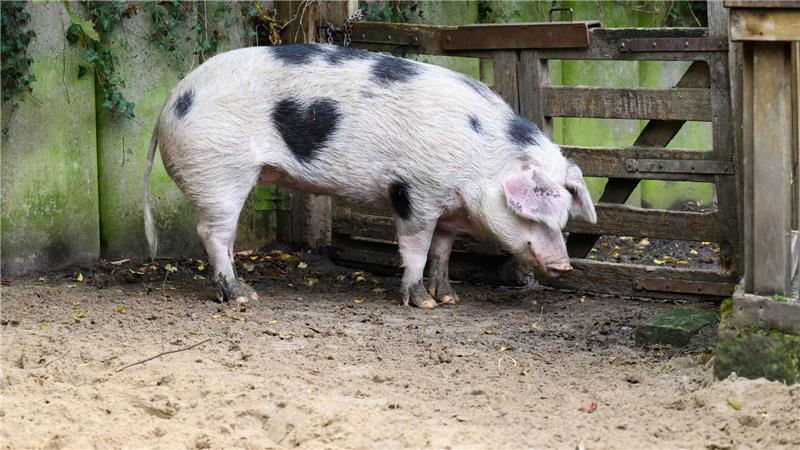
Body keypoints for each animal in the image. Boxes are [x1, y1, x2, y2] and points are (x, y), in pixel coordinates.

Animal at [143, 43, 597, 308]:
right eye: (531, 215)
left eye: (563, 218)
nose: (564, 265)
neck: (480, 156)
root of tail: (170, 102)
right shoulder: (414, 191)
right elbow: (416, 248)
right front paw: (423, 304)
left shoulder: (448, 209)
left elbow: (443, 251)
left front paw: (449, 299)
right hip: (220, 170)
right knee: (212, 233)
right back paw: (242, 297)